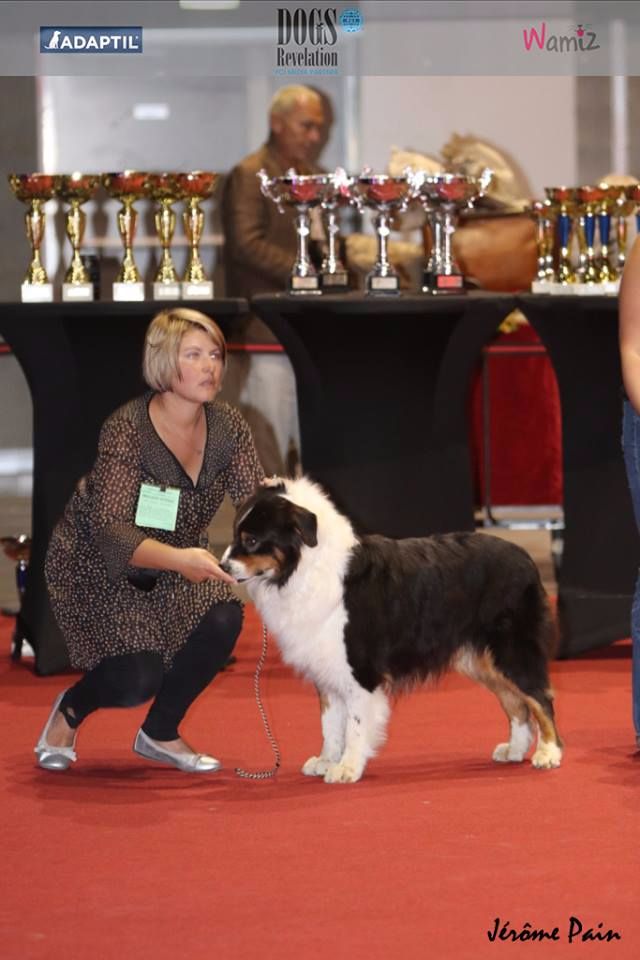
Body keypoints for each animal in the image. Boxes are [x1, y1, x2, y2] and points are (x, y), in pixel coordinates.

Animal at [221, 477, 563, 784]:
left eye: (251, 540)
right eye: (235, 534)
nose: (223, 566)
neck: (305, 567)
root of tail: (524, 556)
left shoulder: (359, 669)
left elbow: (355, 725)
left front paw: (347, 768)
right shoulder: (327, 667)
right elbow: (330, 724)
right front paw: (326, 760)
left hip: (512, 649)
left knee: (539, 698)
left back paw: (548, 753)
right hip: (480, 660)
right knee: (515, 703)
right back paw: (515, 749)